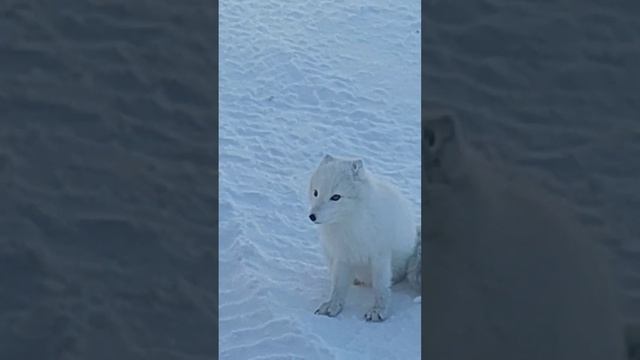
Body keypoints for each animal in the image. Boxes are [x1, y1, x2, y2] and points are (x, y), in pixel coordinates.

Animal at [306, 153, 418, 322]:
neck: (349, 224)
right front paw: (333, 305)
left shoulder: (380, 256)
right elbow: (338, 286)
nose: (312, 216)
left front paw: (378, 311)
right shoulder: (342, 256)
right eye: (316, 192)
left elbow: (380, 286)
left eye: (336, 197)